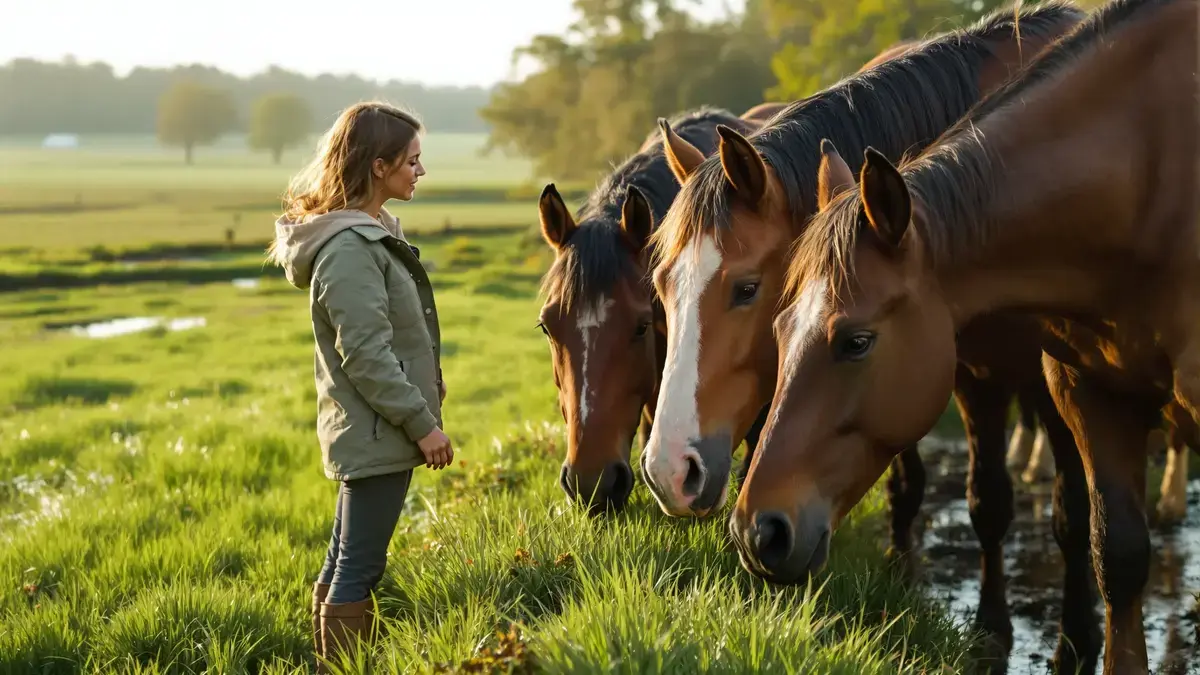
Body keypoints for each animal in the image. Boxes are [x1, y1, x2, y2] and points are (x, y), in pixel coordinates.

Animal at [738, 1, 1196, 672]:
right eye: (778, 327)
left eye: (856, 341)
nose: (757, 532)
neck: (1147, 169)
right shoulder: (1090, 397)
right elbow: (1116, 558)